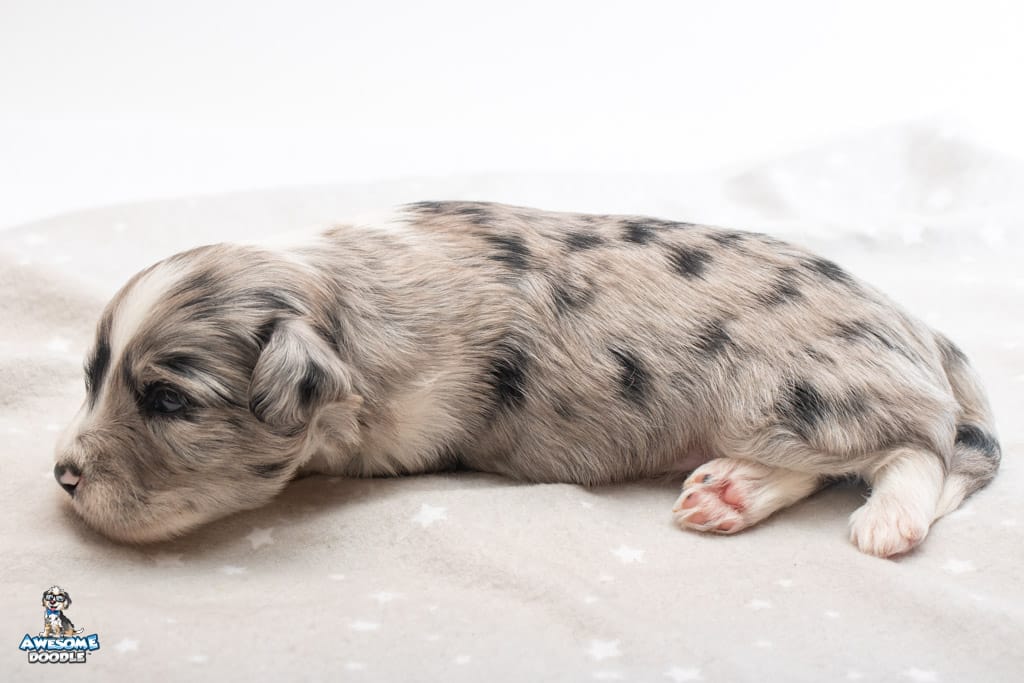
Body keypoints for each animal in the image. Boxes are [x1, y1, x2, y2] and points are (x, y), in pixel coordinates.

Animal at [52, 201, 1001, 556]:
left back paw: (885, 520)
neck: (344, 299)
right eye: (92, 377)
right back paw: (726, 492)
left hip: (796, 389)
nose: (62, 475)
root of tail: (914, 324)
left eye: (168, 400)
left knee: (924, 446)